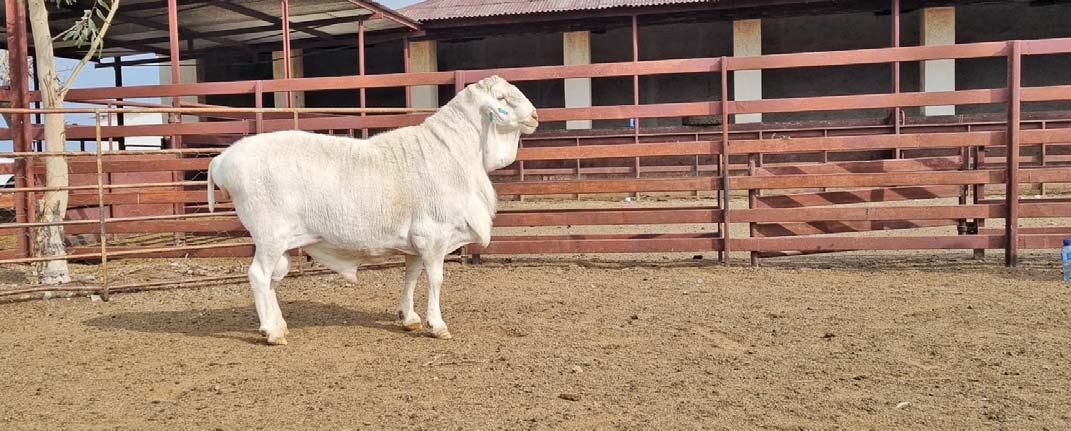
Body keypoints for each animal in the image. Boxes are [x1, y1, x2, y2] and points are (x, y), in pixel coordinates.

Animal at [206, 75, 539, 345]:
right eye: (501, 99)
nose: (535, 116)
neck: (453, 153)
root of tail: (221, 160)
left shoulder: (415, 242)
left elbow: (411, 275)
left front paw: (409, 318)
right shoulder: (433, 235)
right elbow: (435, 279)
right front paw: (437, 325)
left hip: (282, 242)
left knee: (273, 278)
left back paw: (279, 324)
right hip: (269, 235)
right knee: (258, 276)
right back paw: (272, 333)